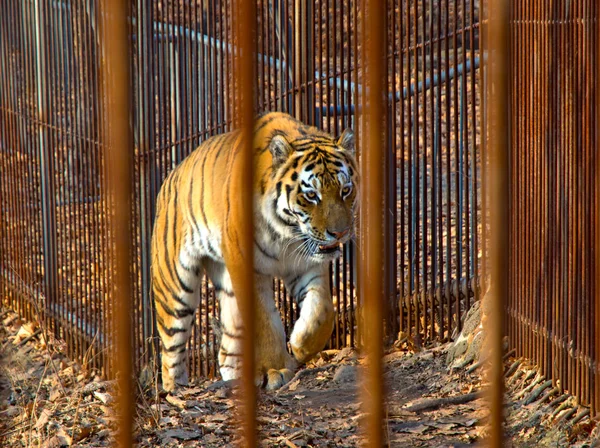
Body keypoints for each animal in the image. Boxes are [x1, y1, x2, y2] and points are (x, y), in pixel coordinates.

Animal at [151, 112, 356, 392]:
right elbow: (265, 322)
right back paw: (176, 390)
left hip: (227, 286)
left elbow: (322, 310)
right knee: (171, 353)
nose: (341, 233)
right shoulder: (247, 265)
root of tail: (172, 175)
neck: (288, 233)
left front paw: (301, 347)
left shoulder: (307, 264)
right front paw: (275, 369)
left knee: (226, 348)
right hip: (174, 289)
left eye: (345, 190)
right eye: (312, 195)